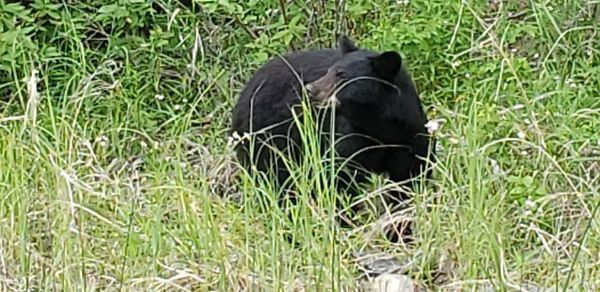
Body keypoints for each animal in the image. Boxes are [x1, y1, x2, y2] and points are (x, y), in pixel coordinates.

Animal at [229, 34, 432, 240]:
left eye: (341, 75)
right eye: (330, 71)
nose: (309, 89)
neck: (379, 127)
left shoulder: (411, 141)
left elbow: (407, 183)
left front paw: (400, 232)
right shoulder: (349, 137)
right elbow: (338, 177)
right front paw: (345, 225)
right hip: (267, 137)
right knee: (274, 180)